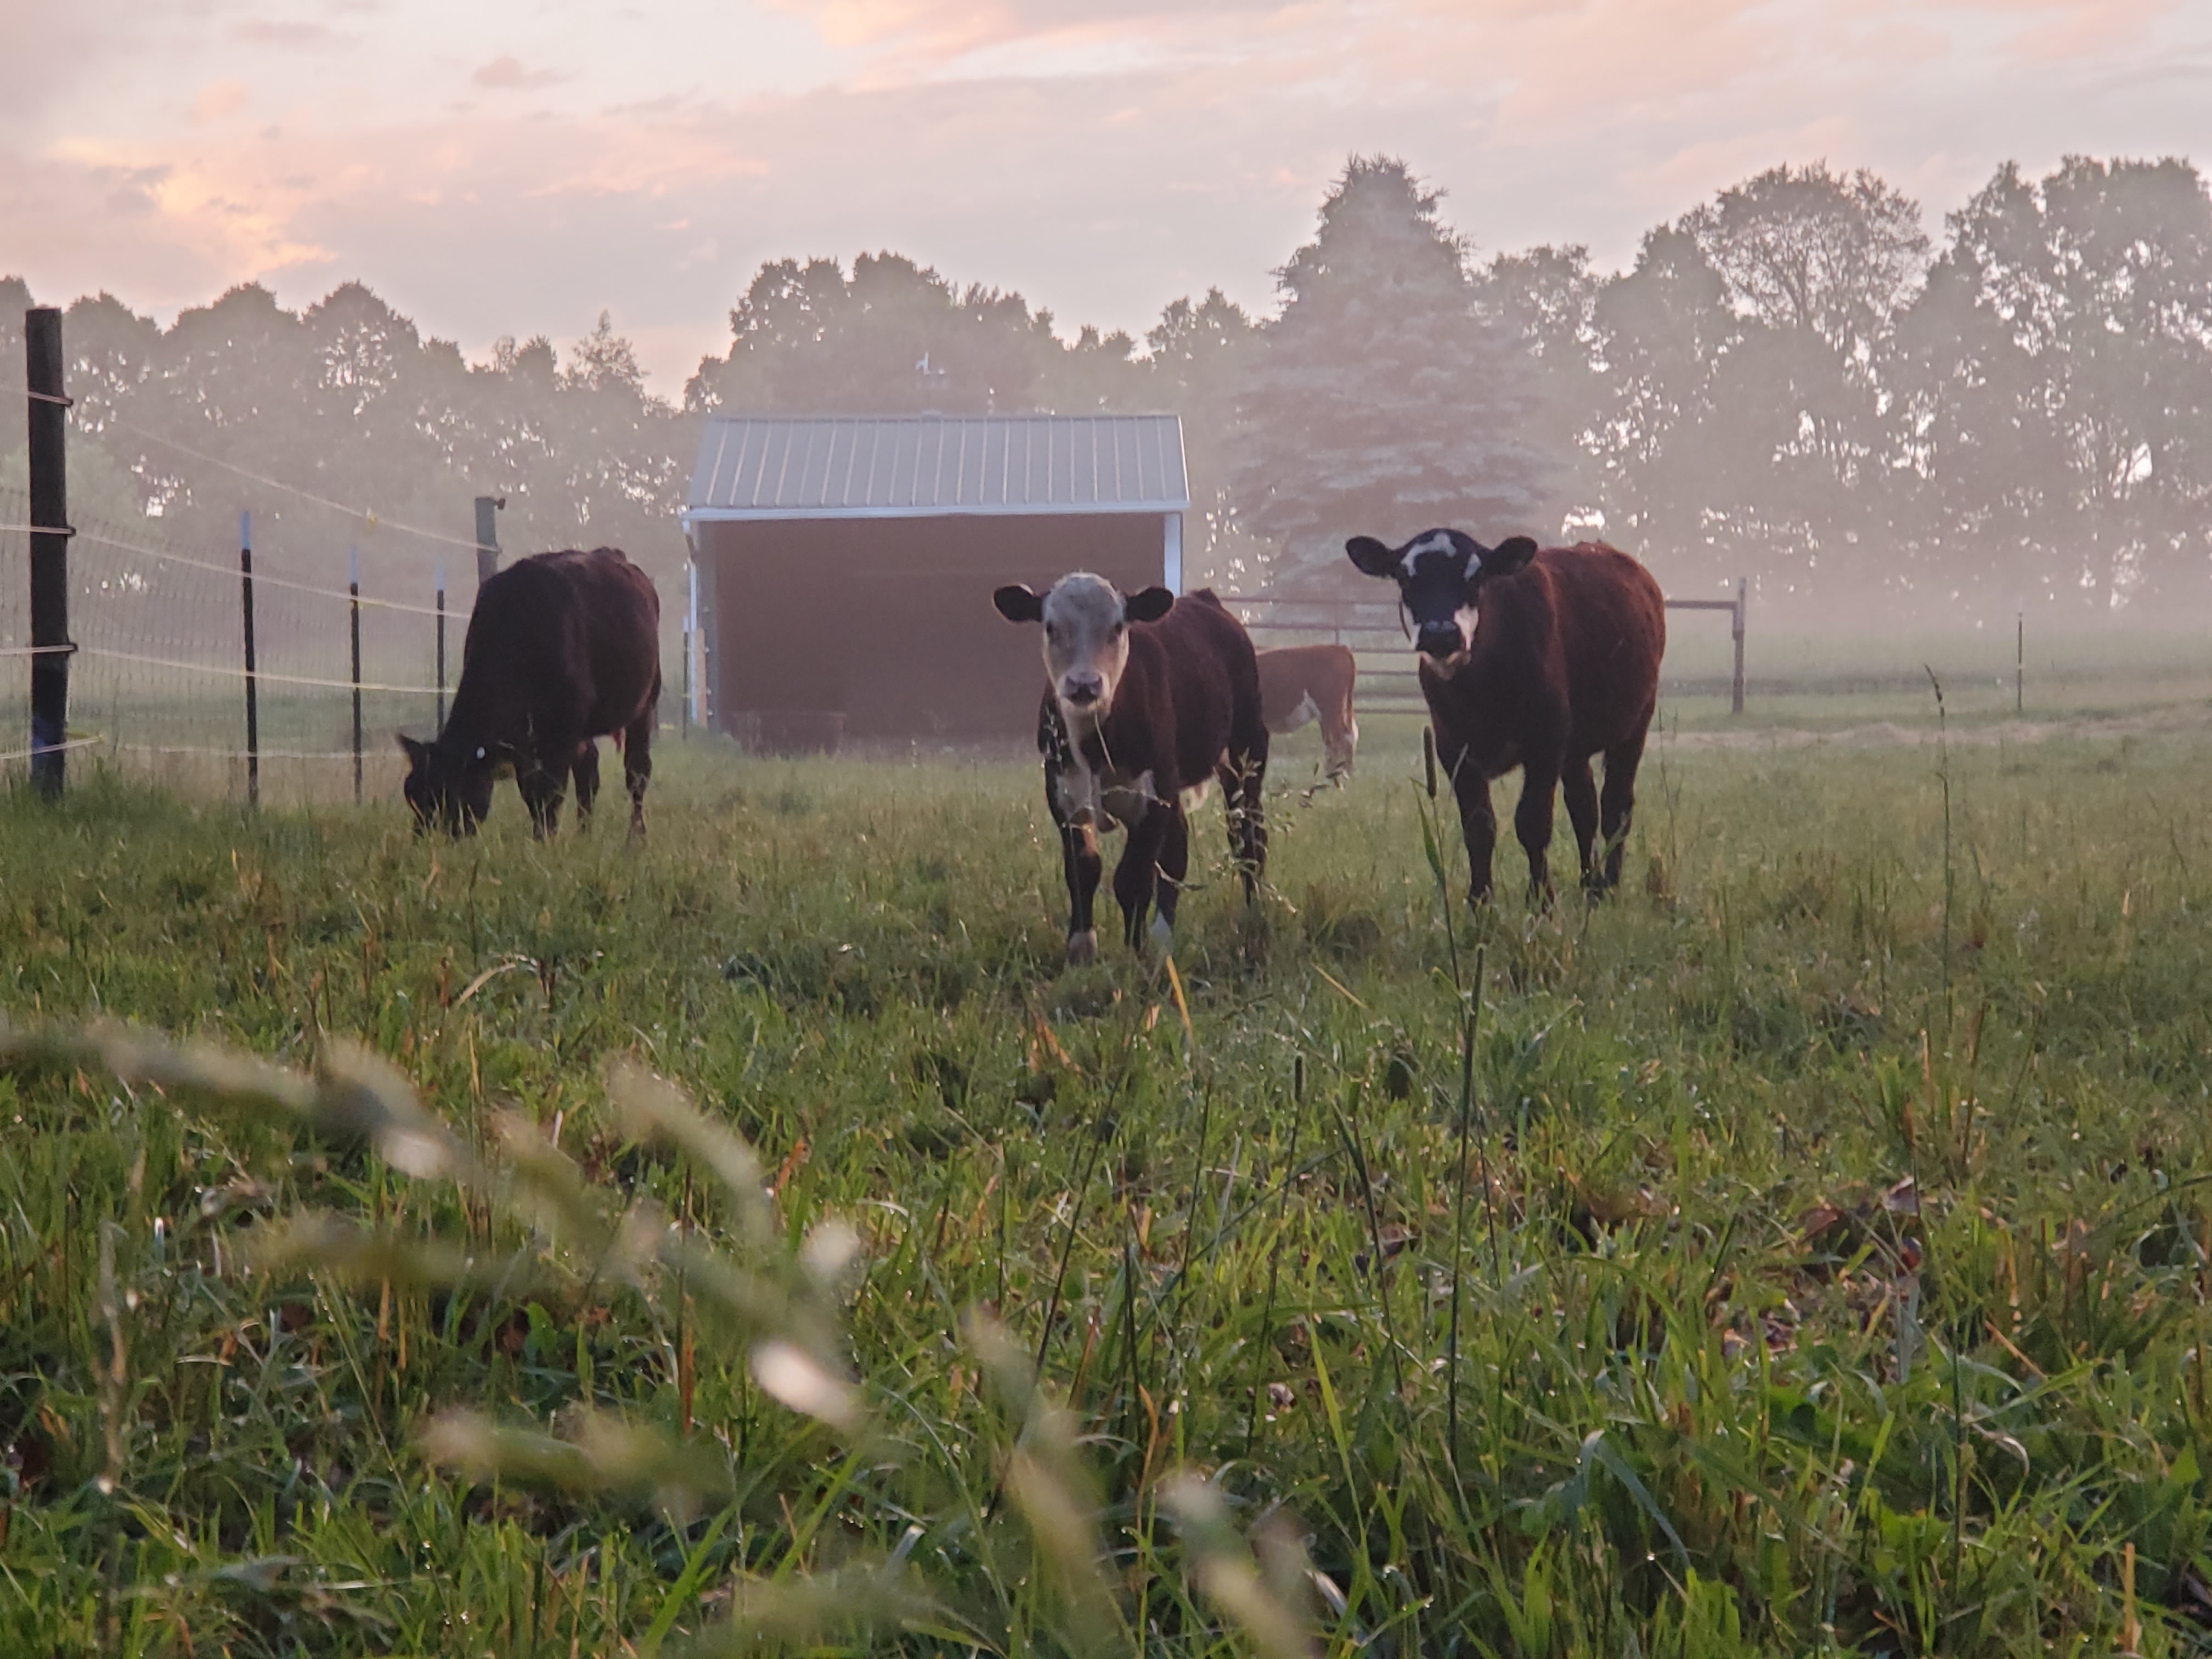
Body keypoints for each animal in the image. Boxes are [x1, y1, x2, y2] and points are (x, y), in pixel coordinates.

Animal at [400, 546, 659, 836]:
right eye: (412, 796)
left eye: (452, 795)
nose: (423, 839)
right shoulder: (524, 741)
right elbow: (532, 793)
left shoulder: (562, 733)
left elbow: (549, 793)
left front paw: (545, 837)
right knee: (588, 773)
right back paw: (585, 833)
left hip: (646, 702)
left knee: (637, 772)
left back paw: (636, 836)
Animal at [995, 575, 1274, 969]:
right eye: (1051, 627)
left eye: (1117, 627)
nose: (1084, 685)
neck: (1096, 746)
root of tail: (1205, 601)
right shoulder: (1063, 797)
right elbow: (1083, 871)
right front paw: (1082, 950)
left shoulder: (1152, 799)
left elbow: (1133, 878)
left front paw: (1135, 953)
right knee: (1178, 848)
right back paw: (1164, 937)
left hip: (1246, 751)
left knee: (1248, 837)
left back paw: (1253, 918)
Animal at [1336, 533, 1663, 902]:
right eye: (1406, 578)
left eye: (1477, 577)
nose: (1440, 632)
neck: (1479, 689)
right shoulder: (1453, 748)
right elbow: (1479, 827)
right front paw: (1481, 902)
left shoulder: (1546, 741)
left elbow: (1533, 822)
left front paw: (1541, 900)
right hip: (1575, 748)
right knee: (1584, 808)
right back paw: (1589, 885)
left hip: (1636, 721)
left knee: (1616, 806)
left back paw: (1608, 884)